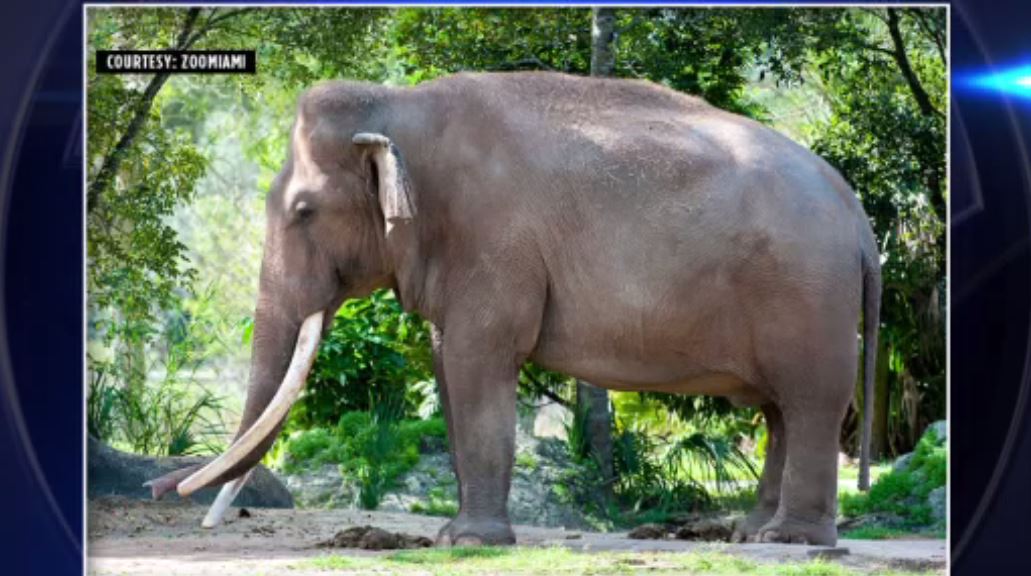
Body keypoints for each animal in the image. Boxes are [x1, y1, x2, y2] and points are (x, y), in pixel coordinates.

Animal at [147, 71, 881, 547]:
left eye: (302, 211)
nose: (161, 492)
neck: (400, 107)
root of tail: (859, 219)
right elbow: (448, 364)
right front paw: (453, 536)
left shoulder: (491, 236)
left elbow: (480, 360)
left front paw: (473, 543)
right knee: (779, 410)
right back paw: (751, 534)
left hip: (808, 295)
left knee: (811, 400)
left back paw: (791, 543)